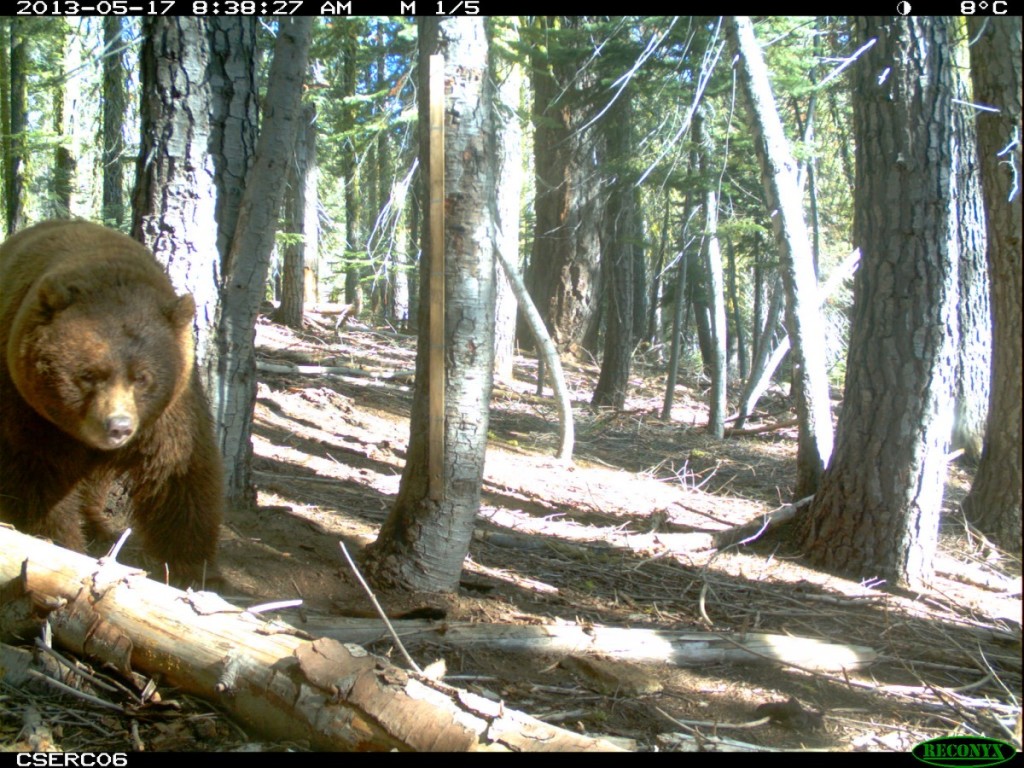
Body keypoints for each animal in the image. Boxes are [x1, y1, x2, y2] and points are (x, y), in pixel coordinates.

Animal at [0, 220, 223, 585]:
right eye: (88, 374)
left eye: (142, 377)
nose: (117, 427)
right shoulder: (29, 411)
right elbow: (38, 480)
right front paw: (64, 546)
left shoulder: (168, 413)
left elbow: (179, 474)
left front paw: (192, 567)